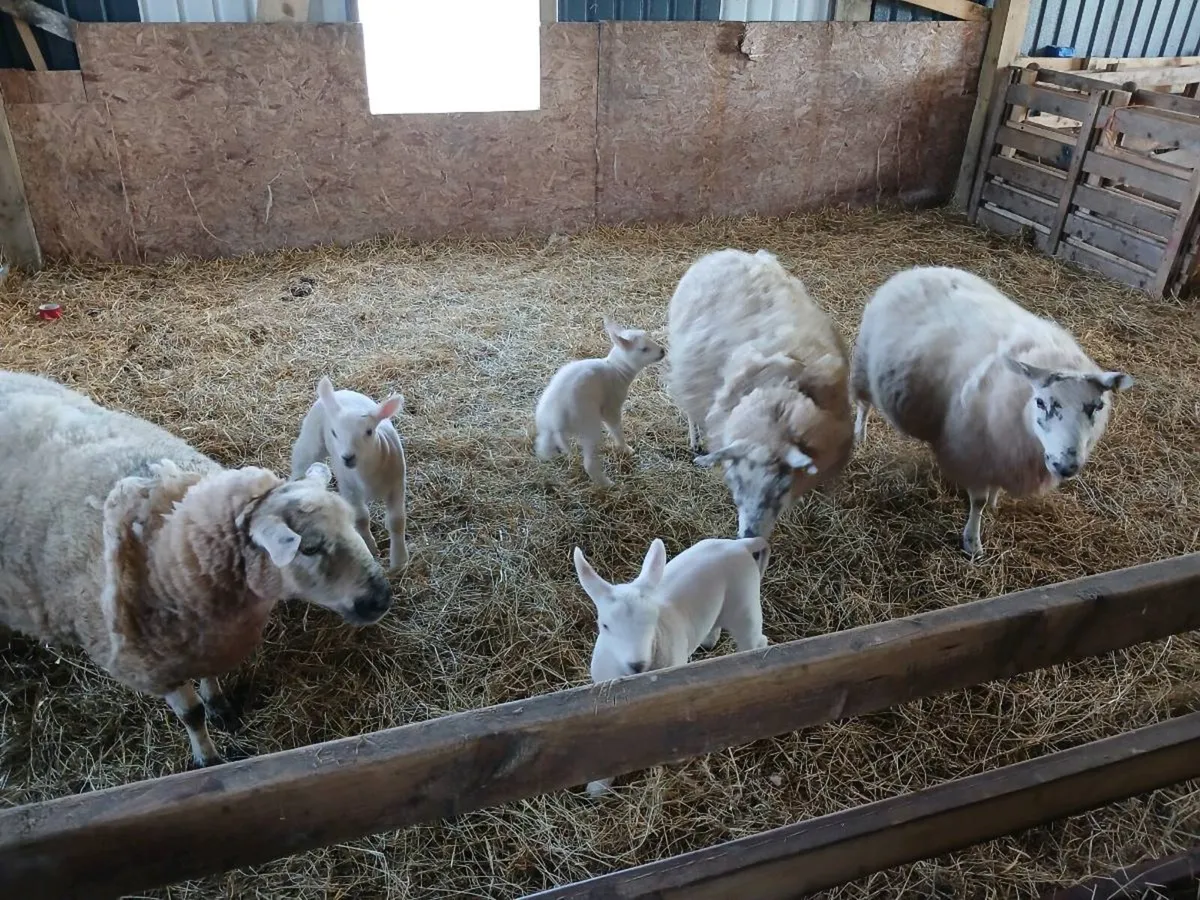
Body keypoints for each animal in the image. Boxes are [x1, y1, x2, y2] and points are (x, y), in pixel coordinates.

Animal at [0, 370, 392, 768]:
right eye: (309, 547)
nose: (381, 597)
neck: (170, 543)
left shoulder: (212, 639)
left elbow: (212, 679)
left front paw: (218, 704)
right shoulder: (158, 666)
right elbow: (191, 715)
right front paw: (208, 757)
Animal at [290, 376, 409, 572]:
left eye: (369, 431)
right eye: (334, 432)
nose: (347, 457)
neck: (367, 475)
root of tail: (339, 393)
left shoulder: (397, 484)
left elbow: (397, 520)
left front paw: (399, 561)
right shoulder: (349, 488)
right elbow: (361, 519)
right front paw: (371, 548)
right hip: (311, 439)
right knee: (300, 463)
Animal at [534, 317, 666, 487]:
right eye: (644, 349)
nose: (663, 351)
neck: (616, 369)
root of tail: (556, 421)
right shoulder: (612, 406)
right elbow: (615, 429)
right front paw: (626, 448)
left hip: (546, 429)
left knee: (542, 447)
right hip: (589, 425)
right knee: (589, 463)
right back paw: (609, 484)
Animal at [572, 535, 770, 796]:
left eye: (653, 620)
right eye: (604, 626)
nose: (637, 664)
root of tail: (740, 545)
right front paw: (598, 787)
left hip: (745, 604)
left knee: (756, 640)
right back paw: (709, 640)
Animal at [850, 266, 1134, 557]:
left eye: (1097, 406)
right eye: (1040, 402)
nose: (1066, 465)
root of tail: (918, 270)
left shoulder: (1003, 453)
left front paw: (996, 501)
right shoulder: (976, 452)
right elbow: (978, 502)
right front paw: (972, 543)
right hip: (863, 367)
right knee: (863, 406)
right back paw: (860, 436)